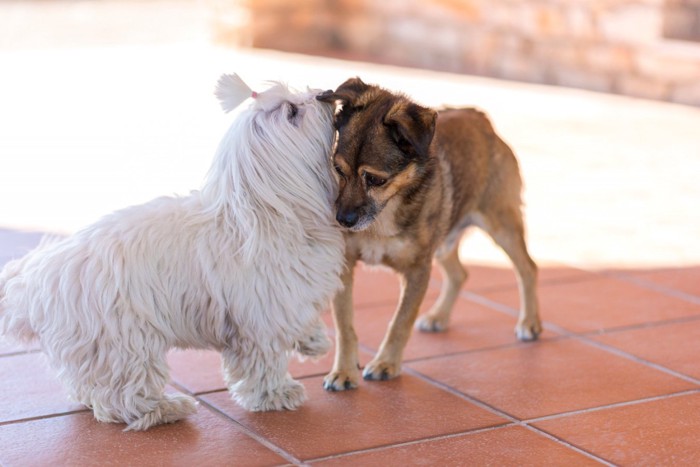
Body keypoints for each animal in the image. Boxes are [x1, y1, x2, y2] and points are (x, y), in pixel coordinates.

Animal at [0, 76, 344, 432]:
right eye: (292, 112)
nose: (324, 93)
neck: (270, 212)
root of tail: (35, 281)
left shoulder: (292, 295)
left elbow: (302, 318)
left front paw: (314, 340)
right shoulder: (261, 316)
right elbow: (264, 360)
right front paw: (275, 394)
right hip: (124, 341)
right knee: (123, 395)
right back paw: (164, 409)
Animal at [318, 77, 540, 392]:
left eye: (375, 179)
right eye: (338, 169)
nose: (343, 220)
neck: (383, 215)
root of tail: (480, 119)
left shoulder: (417, 271)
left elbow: (400, 322)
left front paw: (386, 363)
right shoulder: (345, 267)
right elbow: (345, 326)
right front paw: (344, 371)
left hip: (501, 225)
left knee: (528, 269)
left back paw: (529, 323)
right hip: (445, 239)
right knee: (460, 274)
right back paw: (439, 316)